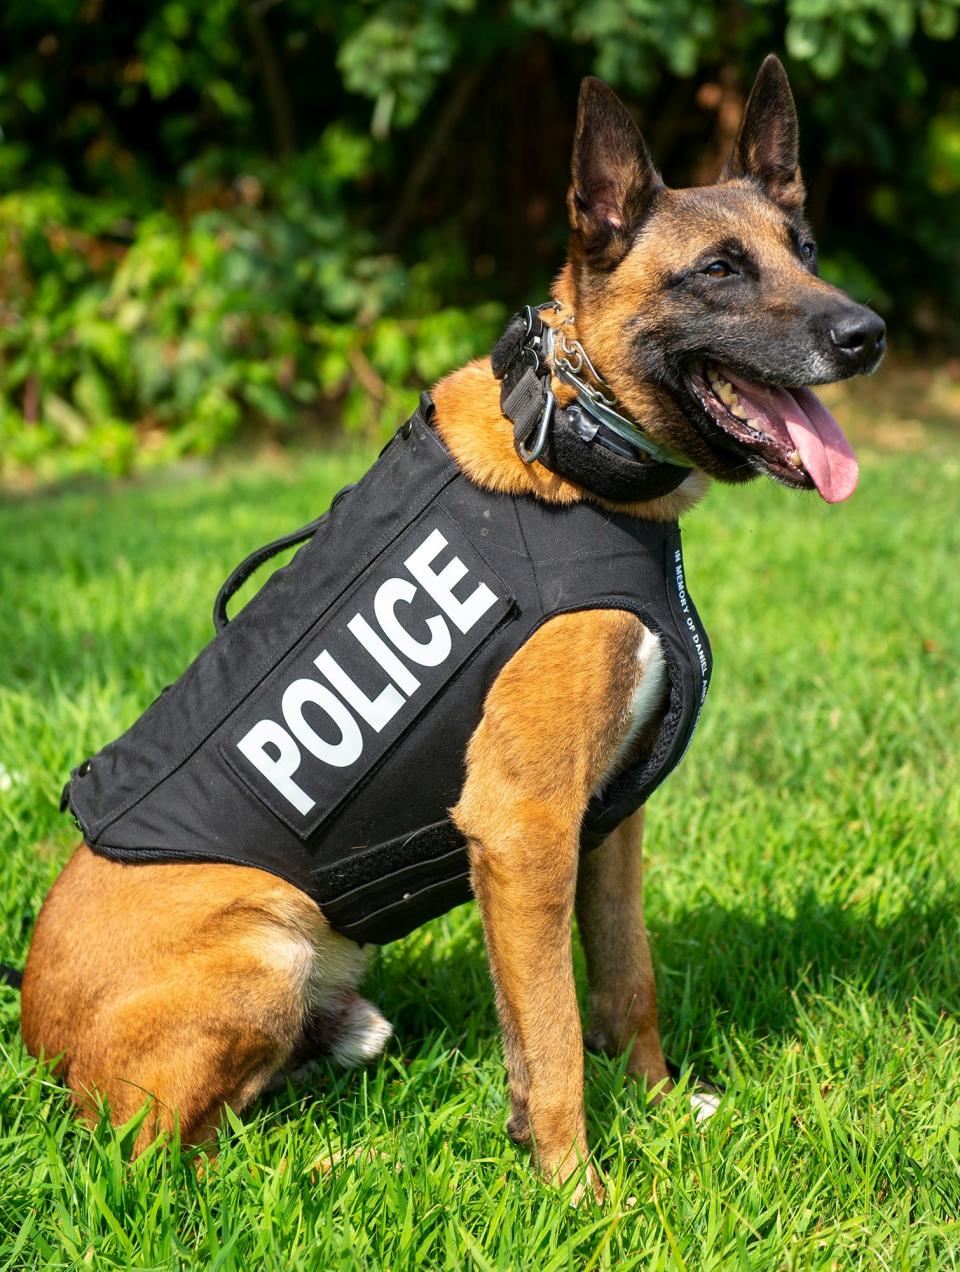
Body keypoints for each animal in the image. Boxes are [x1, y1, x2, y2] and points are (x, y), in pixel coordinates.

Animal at [18, 52, 879, 1200]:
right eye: (719, 272)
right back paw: (336, 1165)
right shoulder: (523, 830)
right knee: (160, 1159)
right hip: (268, 947)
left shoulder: (607, 824)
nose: (866, 335)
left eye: (808, 253)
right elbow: (552, 1041)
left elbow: (627, 981)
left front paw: (660, 1107)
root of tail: (37, 1039)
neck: (577, 438)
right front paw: (579, 1196)